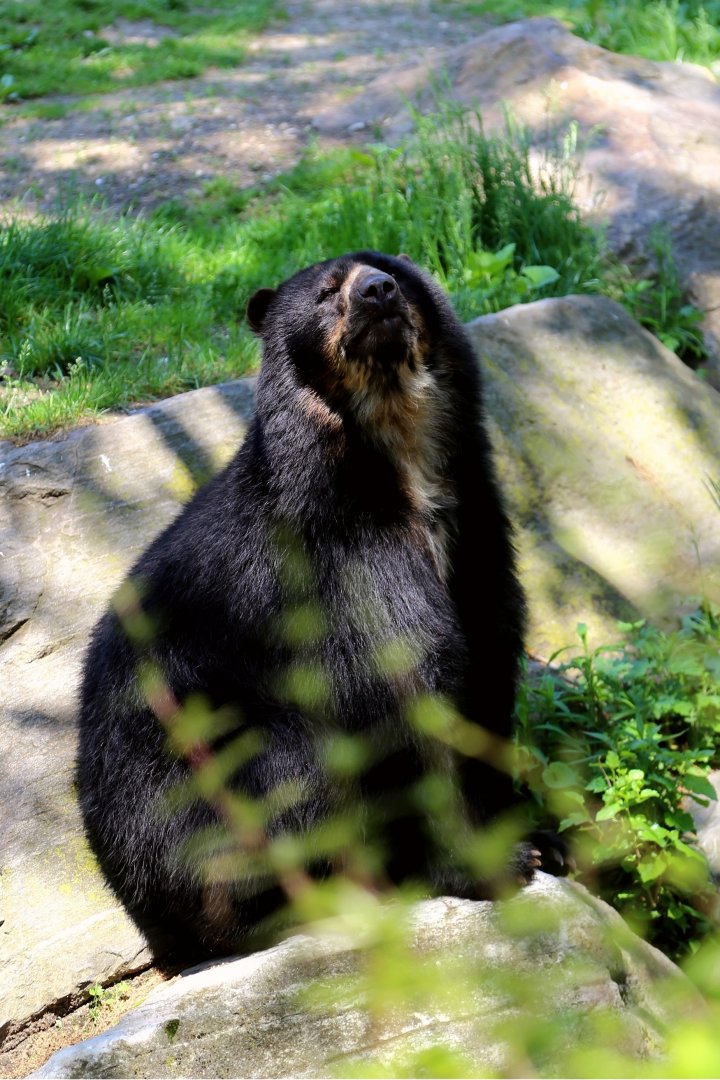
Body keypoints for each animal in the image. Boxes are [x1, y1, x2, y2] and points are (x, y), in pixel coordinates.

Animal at [77, 250, 543, 959]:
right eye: (327, 293)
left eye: (393, 273)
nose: (378, 292)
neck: (395, 445)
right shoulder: (342, 555)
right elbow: (405, 684)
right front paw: (485, 865)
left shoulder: (473, 526)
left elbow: (487, 662)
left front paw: (538, 839)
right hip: (209, 794)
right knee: (292, 776)